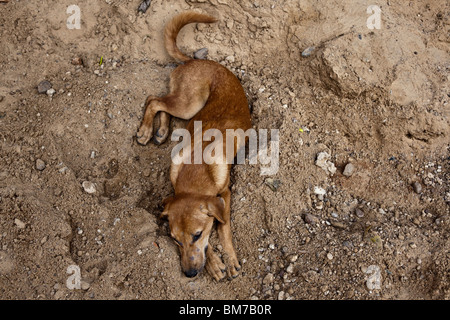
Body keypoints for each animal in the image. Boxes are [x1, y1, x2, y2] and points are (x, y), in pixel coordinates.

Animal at [135, 11, 251, 280]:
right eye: (175, 240)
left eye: (197, 235)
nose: (189, 274)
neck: (196, 168)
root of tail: (194, 61)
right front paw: (214, 263)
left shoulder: (225, 195)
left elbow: (223, 228)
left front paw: (228, 258)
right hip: (188, 104)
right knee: (155, 100)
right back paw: (150, 130)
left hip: (189, 106)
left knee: (156, 100)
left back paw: (157, 131)